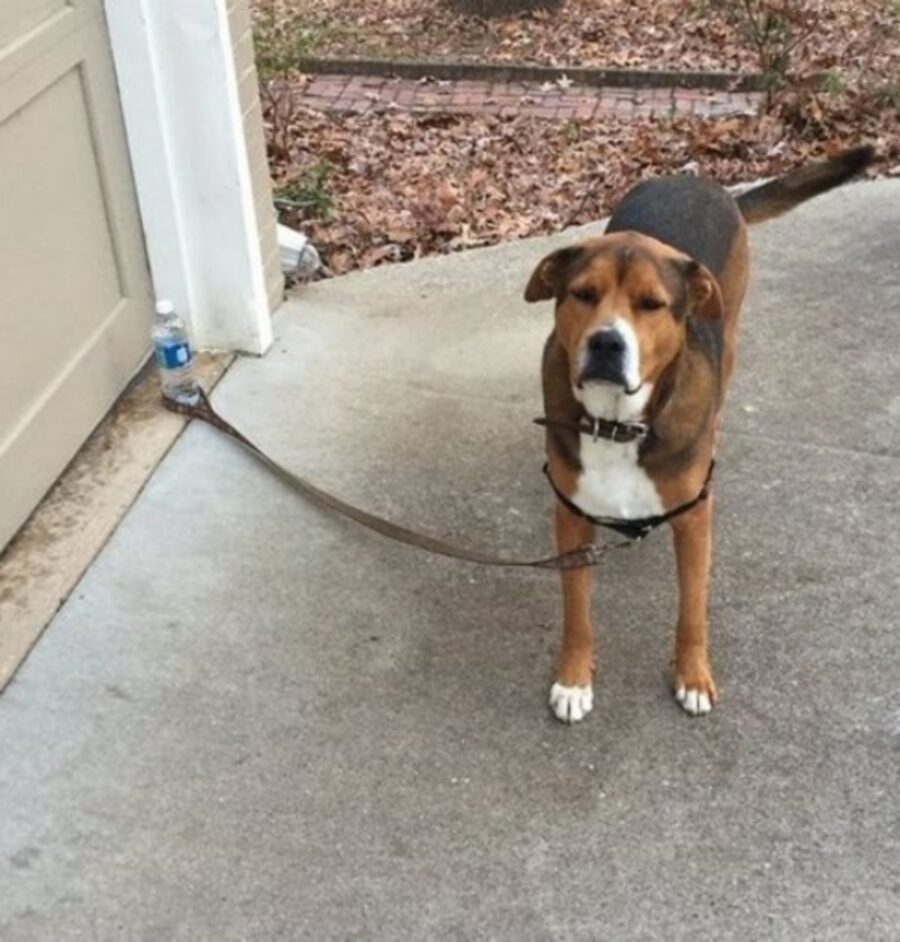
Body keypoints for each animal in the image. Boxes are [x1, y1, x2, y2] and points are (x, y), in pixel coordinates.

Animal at [528, 146, 872, 724]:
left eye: (651, 304)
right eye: (583, 294)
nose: (606, 344)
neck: (619, 423)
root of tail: (699, 182)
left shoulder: (694, 521)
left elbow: (693, 606)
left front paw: (691, 675)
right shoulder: (572, 519)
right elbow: (577, 610)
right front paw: (574, 679)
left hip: (729, 331)